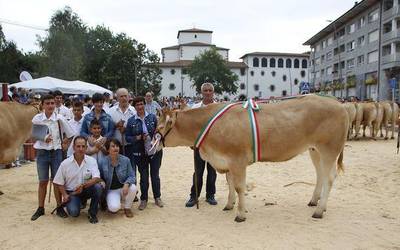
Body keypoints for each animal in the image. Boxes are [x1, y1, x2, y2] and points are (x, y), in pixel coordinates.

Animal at [158, 94, 348, 222]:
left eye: (159, 127)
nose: (153, 140)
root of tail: (339, 104)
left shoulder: (237, 160)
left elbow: (239, 187)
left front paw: (240, 214)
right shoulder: (227, 160)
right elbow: (230, 184)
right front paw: (229, 205)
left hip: (329, 149)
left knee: (329, 177)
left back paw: (319, 210)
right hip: (314, 150)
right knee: (320, 175)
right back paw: (314, 201)